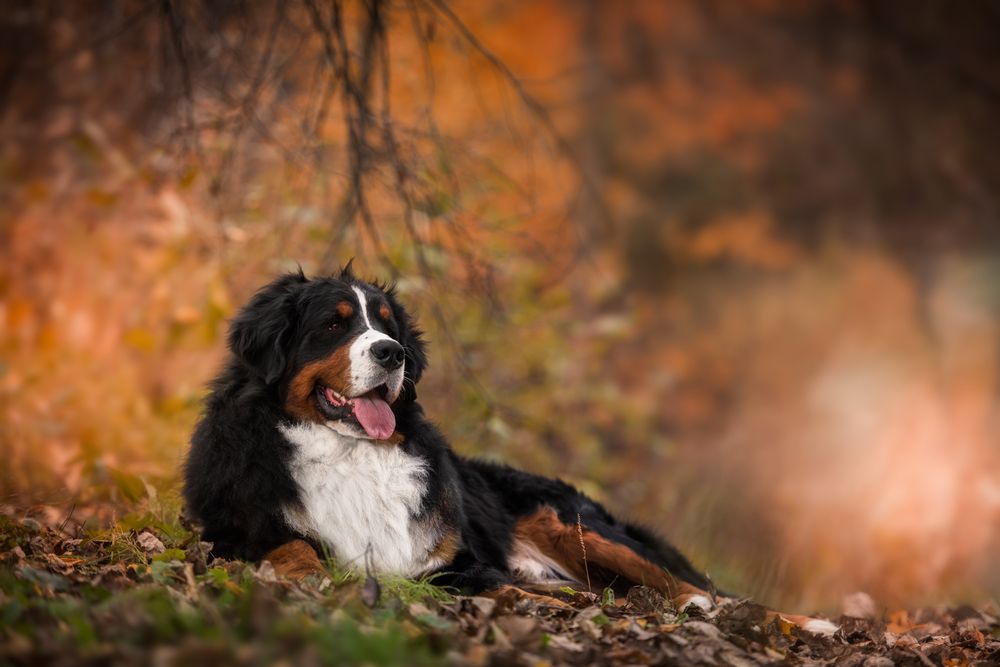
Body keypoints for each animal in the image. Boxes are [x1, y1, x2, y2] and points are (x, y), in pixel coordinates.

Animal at [186, 268, 836, 636]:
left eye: (387, 325)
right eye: (334, 324)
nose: (393, 352)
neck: (349, 453)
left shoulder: (454, 561)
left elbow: (492, 583)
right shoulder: (229, 528)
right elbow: (292, 546)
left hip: (578, 523)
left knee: (701, 591)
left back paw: (806, 623)